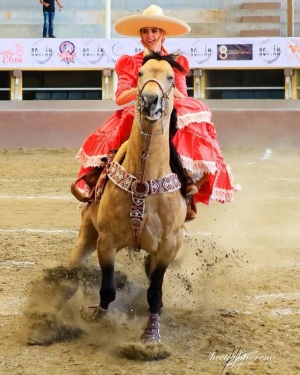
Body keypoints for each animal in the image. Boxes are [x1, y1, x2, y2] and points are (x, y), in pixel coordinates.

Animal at [69, 52, 189, 346]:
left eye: (171, 77)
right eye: (140, 74)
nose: (149, 100)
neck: (144, 180)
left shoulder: (169, 244)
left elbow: (154, 293)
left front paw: (150, 335)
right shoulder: (106, 240)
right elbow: (108, 288)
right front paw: (97, 318)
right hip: (86, 234)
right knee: (73, 265)